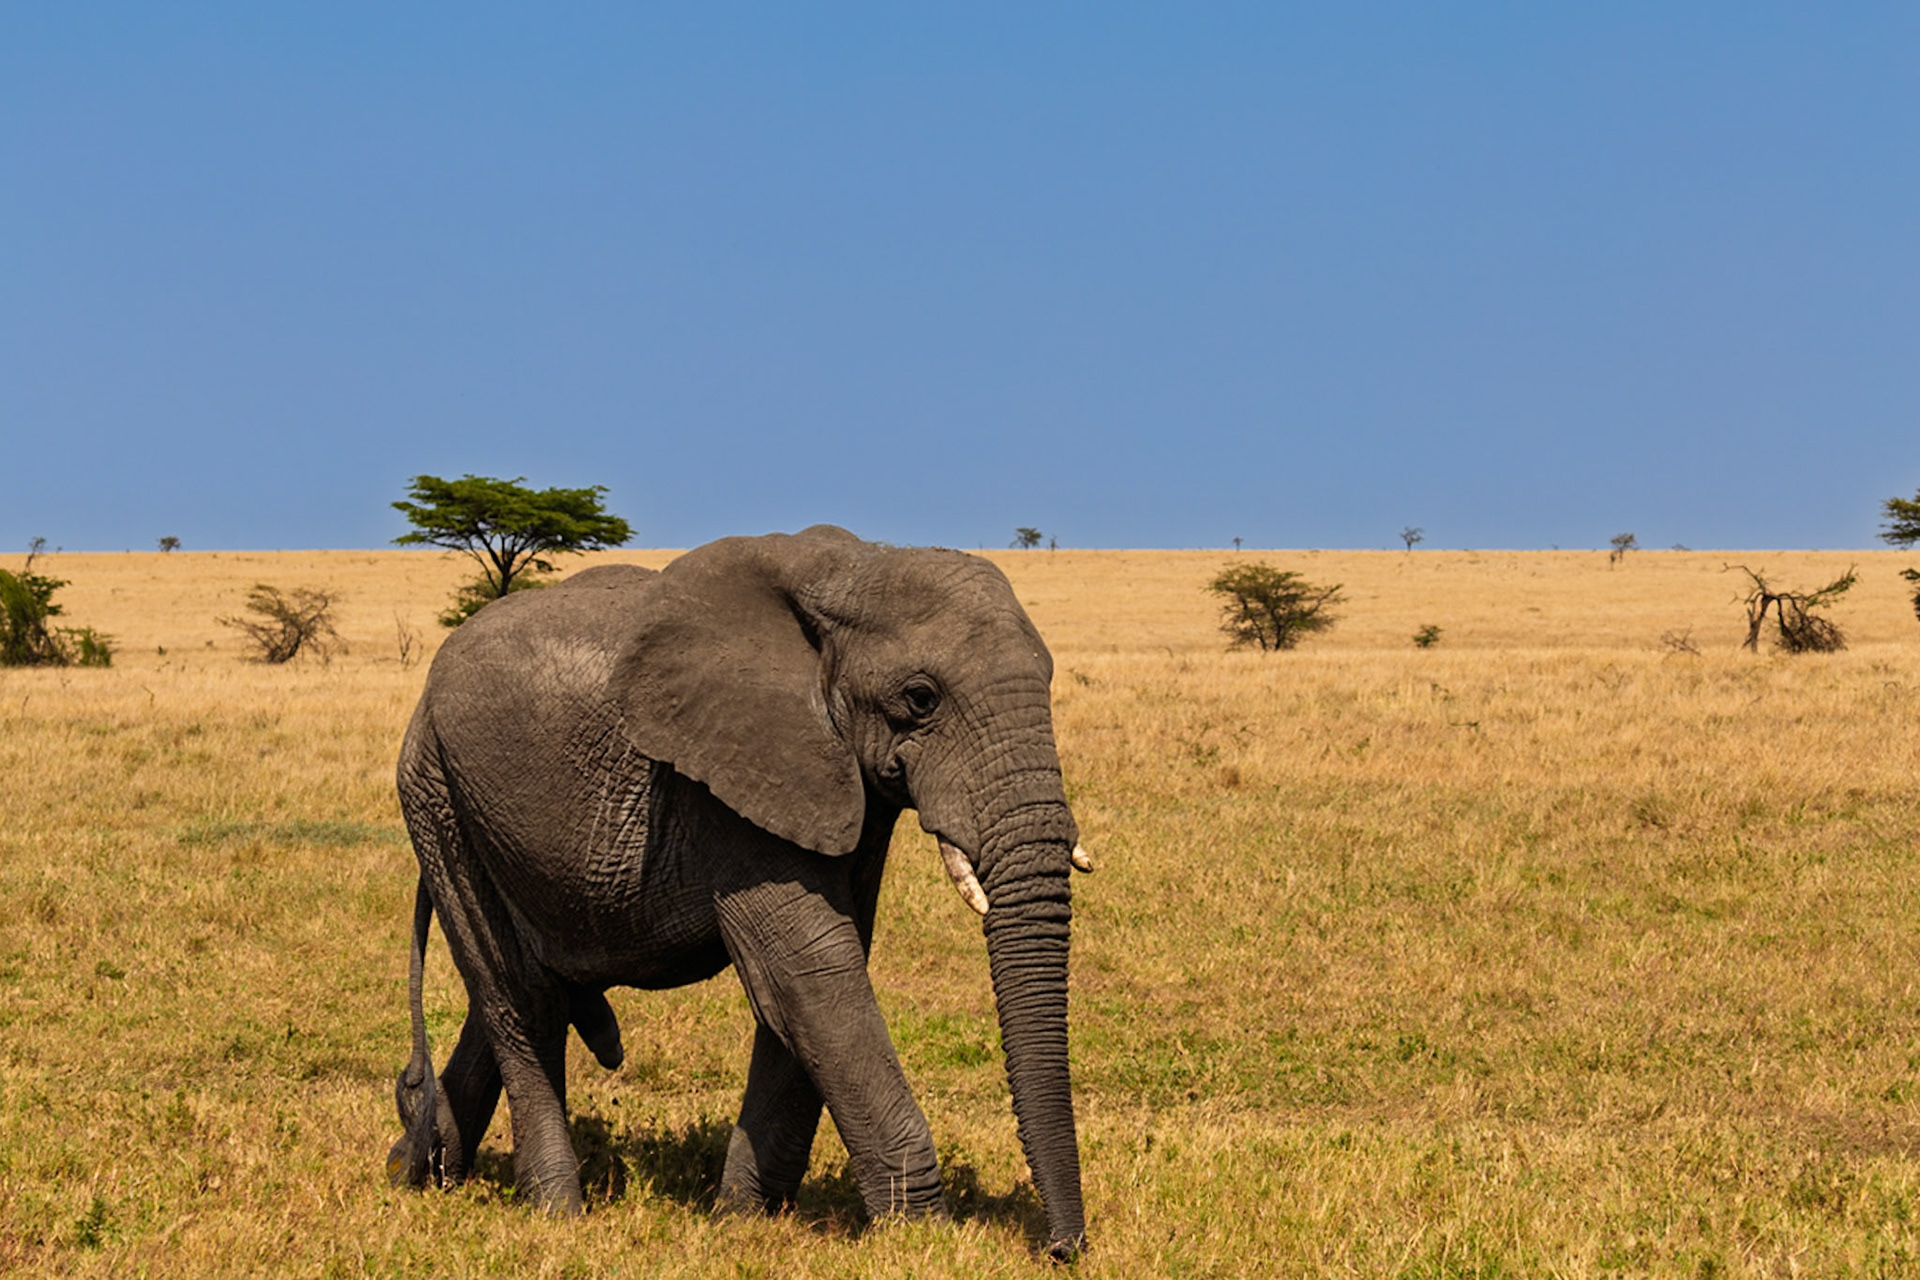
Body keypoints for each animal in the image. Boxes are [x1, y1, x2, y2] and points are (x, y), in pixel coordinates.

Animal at [386, 525, 1091, 1259]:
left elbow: (813, 980)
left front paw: (748, 1219)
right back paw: (557, 1212)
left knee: (510, 987)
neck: (854, 568)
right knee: (518, 997)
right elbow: (811, 973)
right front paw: (919, 1238)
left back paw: (419, 1170)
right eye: (920, 697)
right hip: (437, 794)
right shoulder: (726, 778)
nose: (1061, 1250)